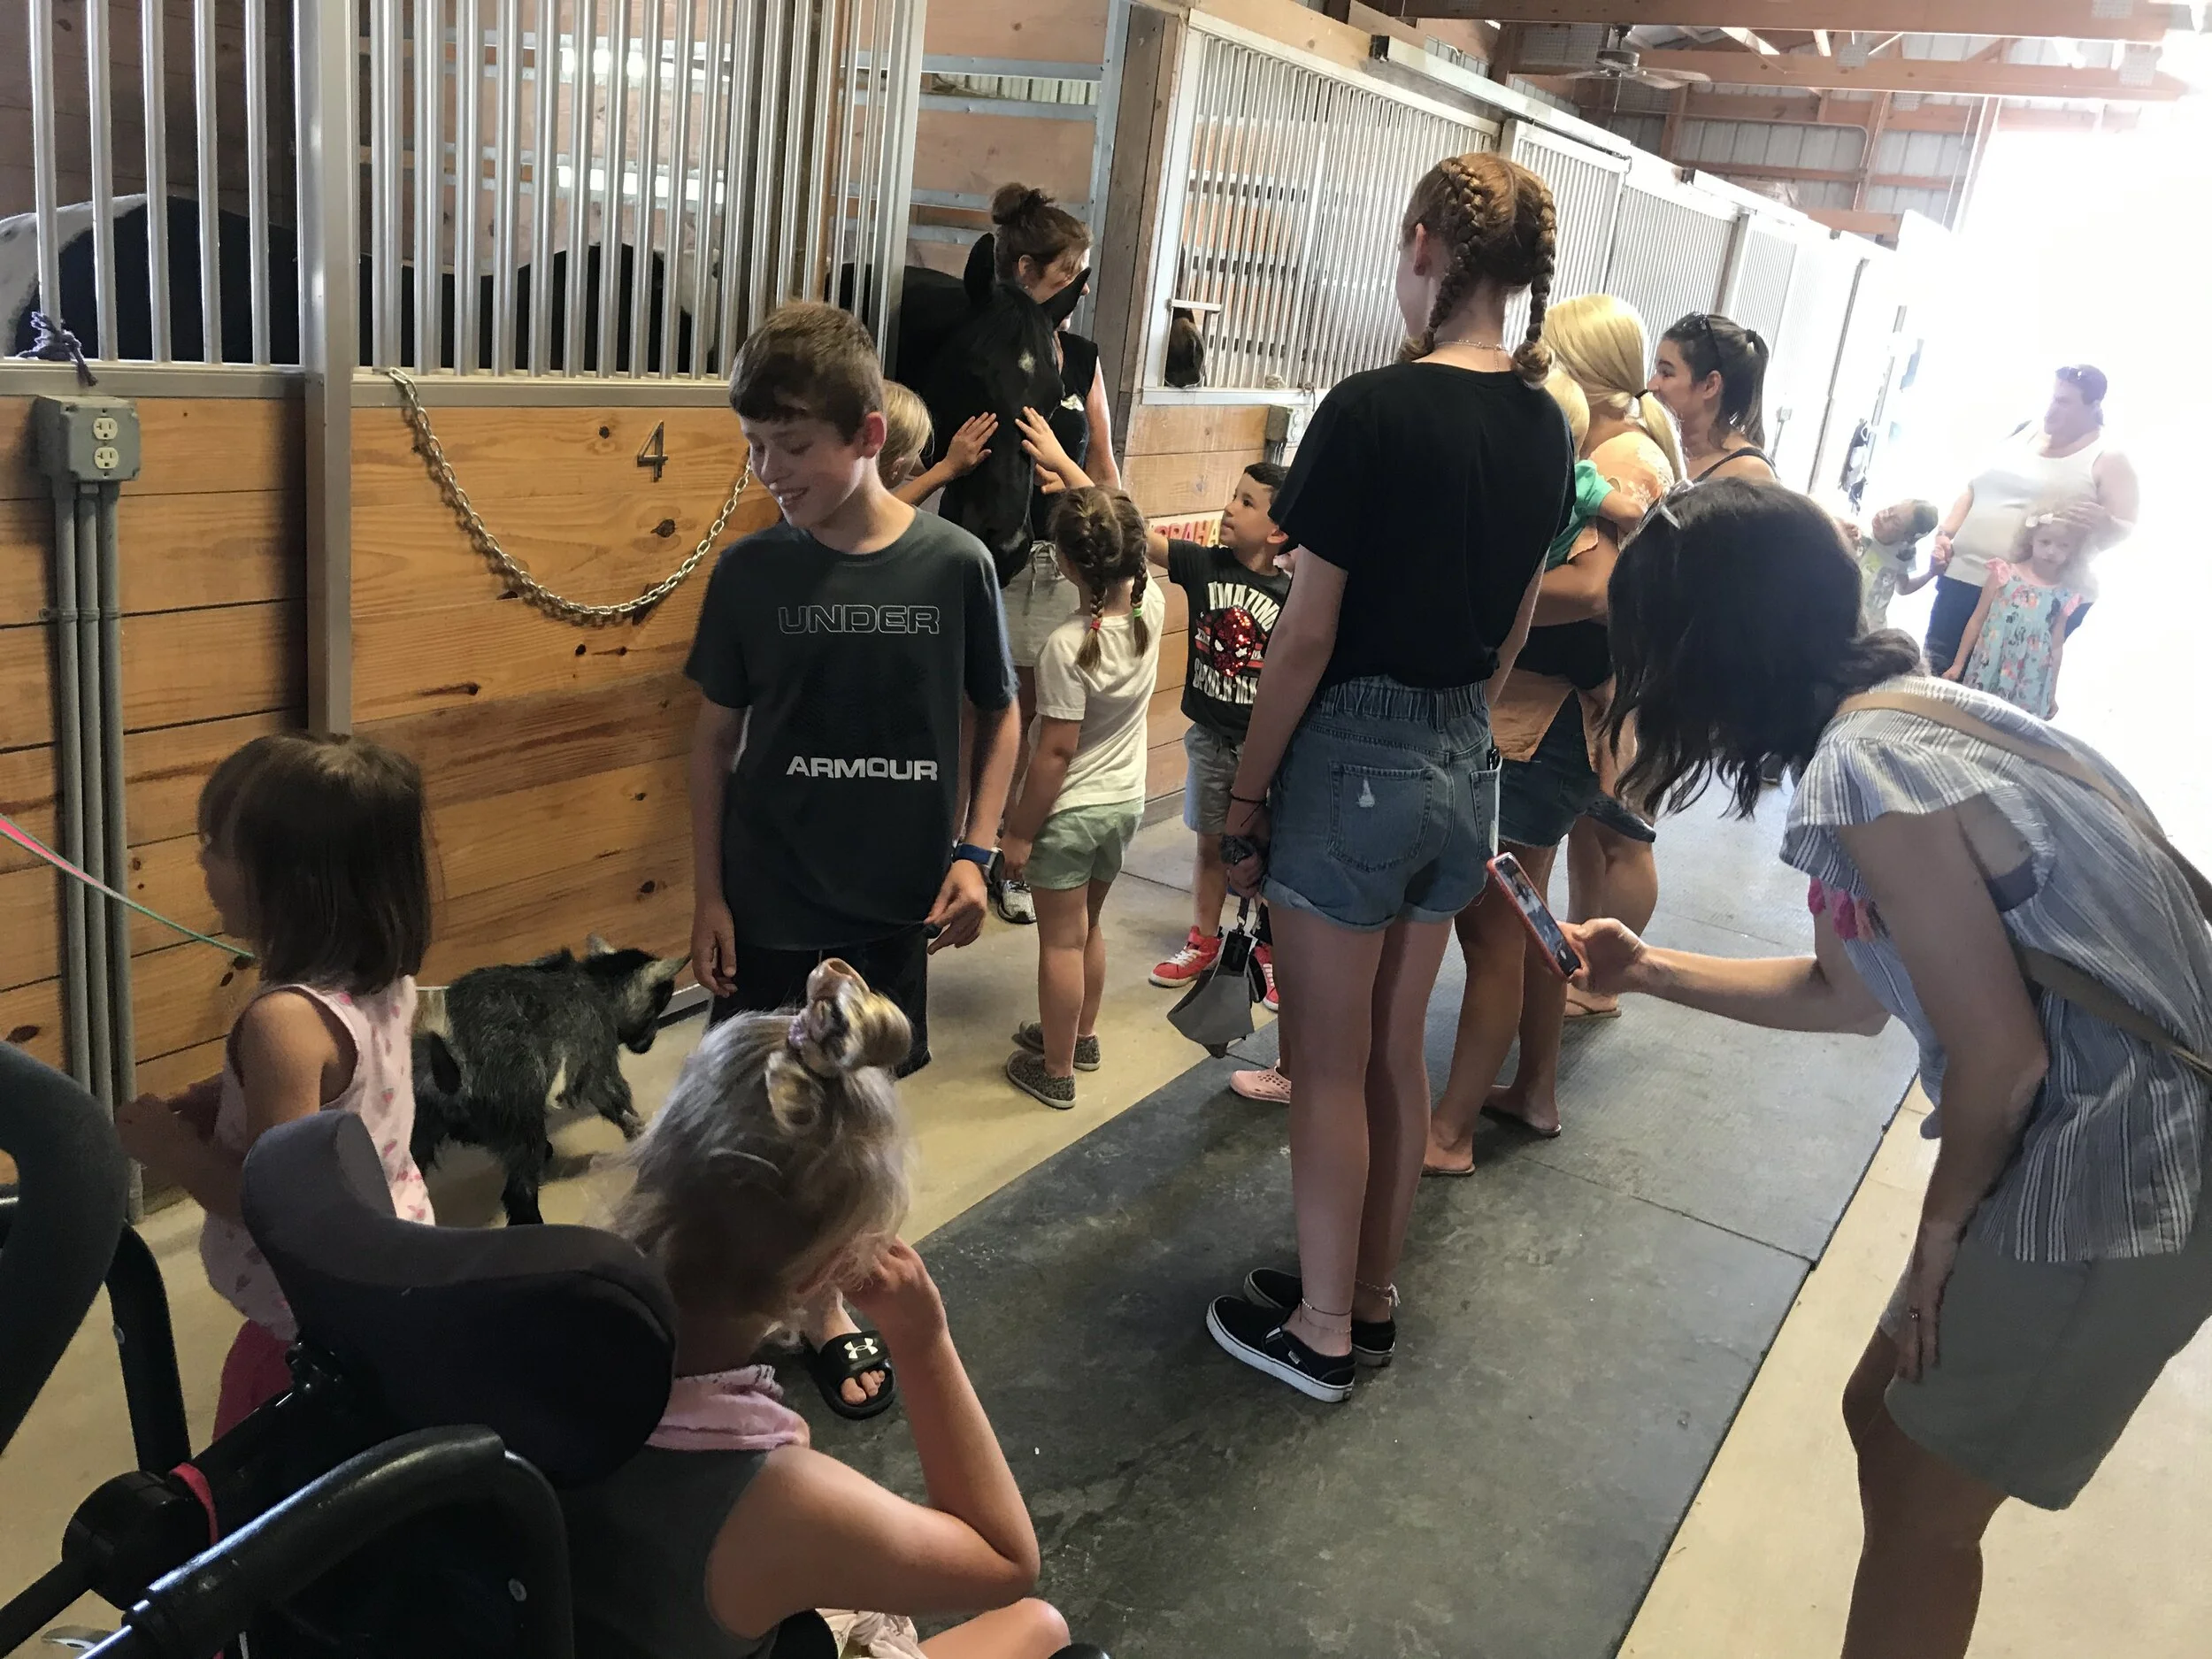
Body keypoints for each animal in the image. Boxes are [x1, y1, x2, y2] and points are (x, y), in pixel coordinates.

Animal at [411, 936, 688, 1225]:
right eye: (658, 1008)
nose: (649, 1043)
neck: (596, 980)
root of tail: (451, 1059)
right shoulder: (597, 1063)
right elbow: (617, 1102)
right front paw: (639, 1132)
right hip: (525, 1123)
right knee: (519, 1192)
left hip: (420, 1134)